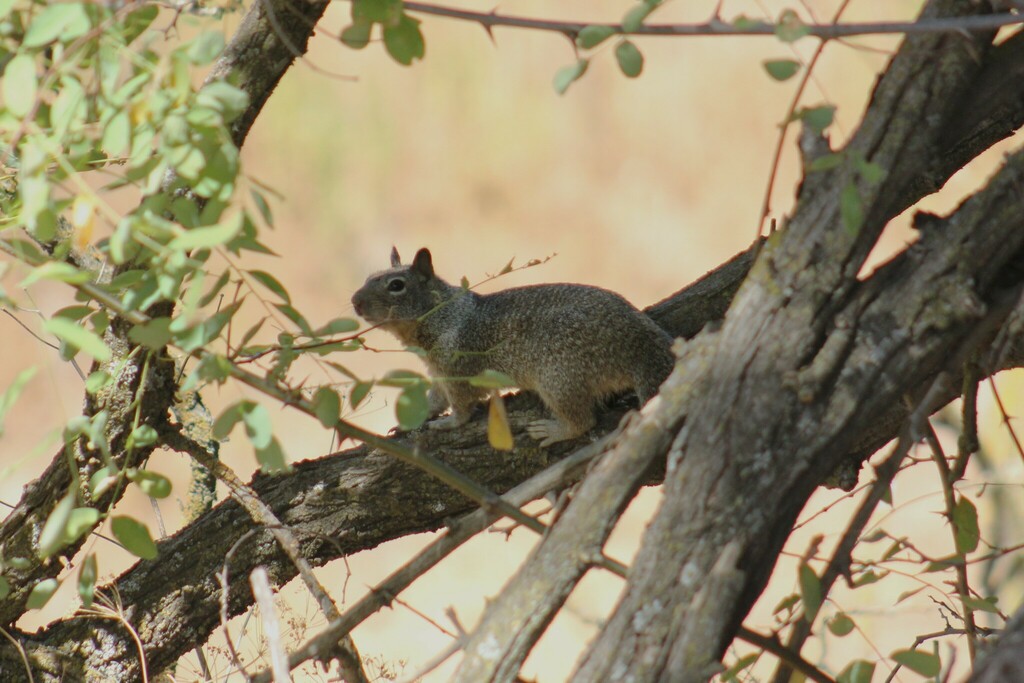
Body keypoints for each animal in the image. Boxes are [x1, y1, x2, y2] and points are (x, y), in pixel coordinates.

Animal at [351, 247, 675, 446]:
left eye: (396, 285)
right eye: (367, 277)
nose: (355, 302)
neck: (445, 315)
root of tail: (641, 343)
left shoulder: (458, 367)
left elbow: (461, 406)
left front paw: (449, 423)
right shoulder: (439, 370)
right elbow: (436, 399)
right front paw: (413, 421)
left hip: (559, 376)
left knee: (584, 420)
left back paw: (554, 430)